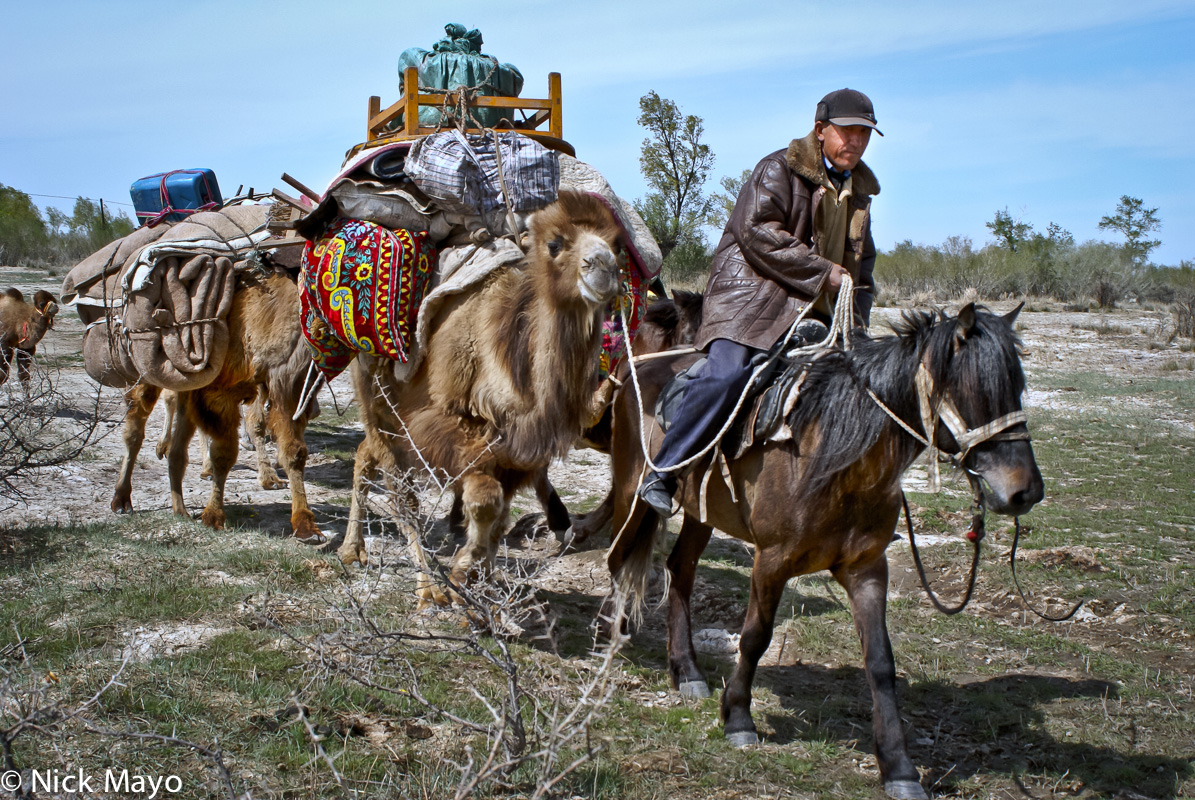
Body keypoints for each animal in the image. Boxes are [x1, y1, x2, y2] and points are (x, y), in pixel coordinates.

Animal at [110, 267, 325, 542]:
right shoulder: (221, 393)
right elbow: (225, 452)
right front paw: (213, 516)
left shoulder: (288, 388)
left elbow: (294, 451)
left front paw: (306, 526)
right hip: (148, 372)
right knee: (135, 428)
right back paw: (122, 499)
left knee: (178, 446)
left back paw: (180, 508)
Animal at [341, 190, 626, 595]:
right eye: (555, 244)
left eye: (616, 246)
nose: (603, 267)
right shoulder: (447, 424)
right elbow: (486, 501)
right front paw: (465, 571)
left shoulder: (516, 450)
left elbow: (500, 513)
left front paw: (482, 579)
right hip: (374, 390)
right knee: (398, 488)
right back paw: (426, 588)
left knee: (366, 454)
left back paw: (353, 551)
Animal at [607, 302, 1037, 794]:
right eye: (972, 390)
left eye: (1017, 388)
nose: (1026, 491)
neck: (833, 455)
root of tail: (640, 368)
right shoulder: (771, 561)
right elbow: (755, 638)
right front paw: (738, 718)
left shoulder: (867, 568)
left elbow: (880, 662)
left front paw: (899, 766)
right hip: (631, 495)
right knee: (619, 560)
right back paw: (614, 641)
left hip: (702, 511)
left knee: (680, 569)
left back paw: (688, 671)